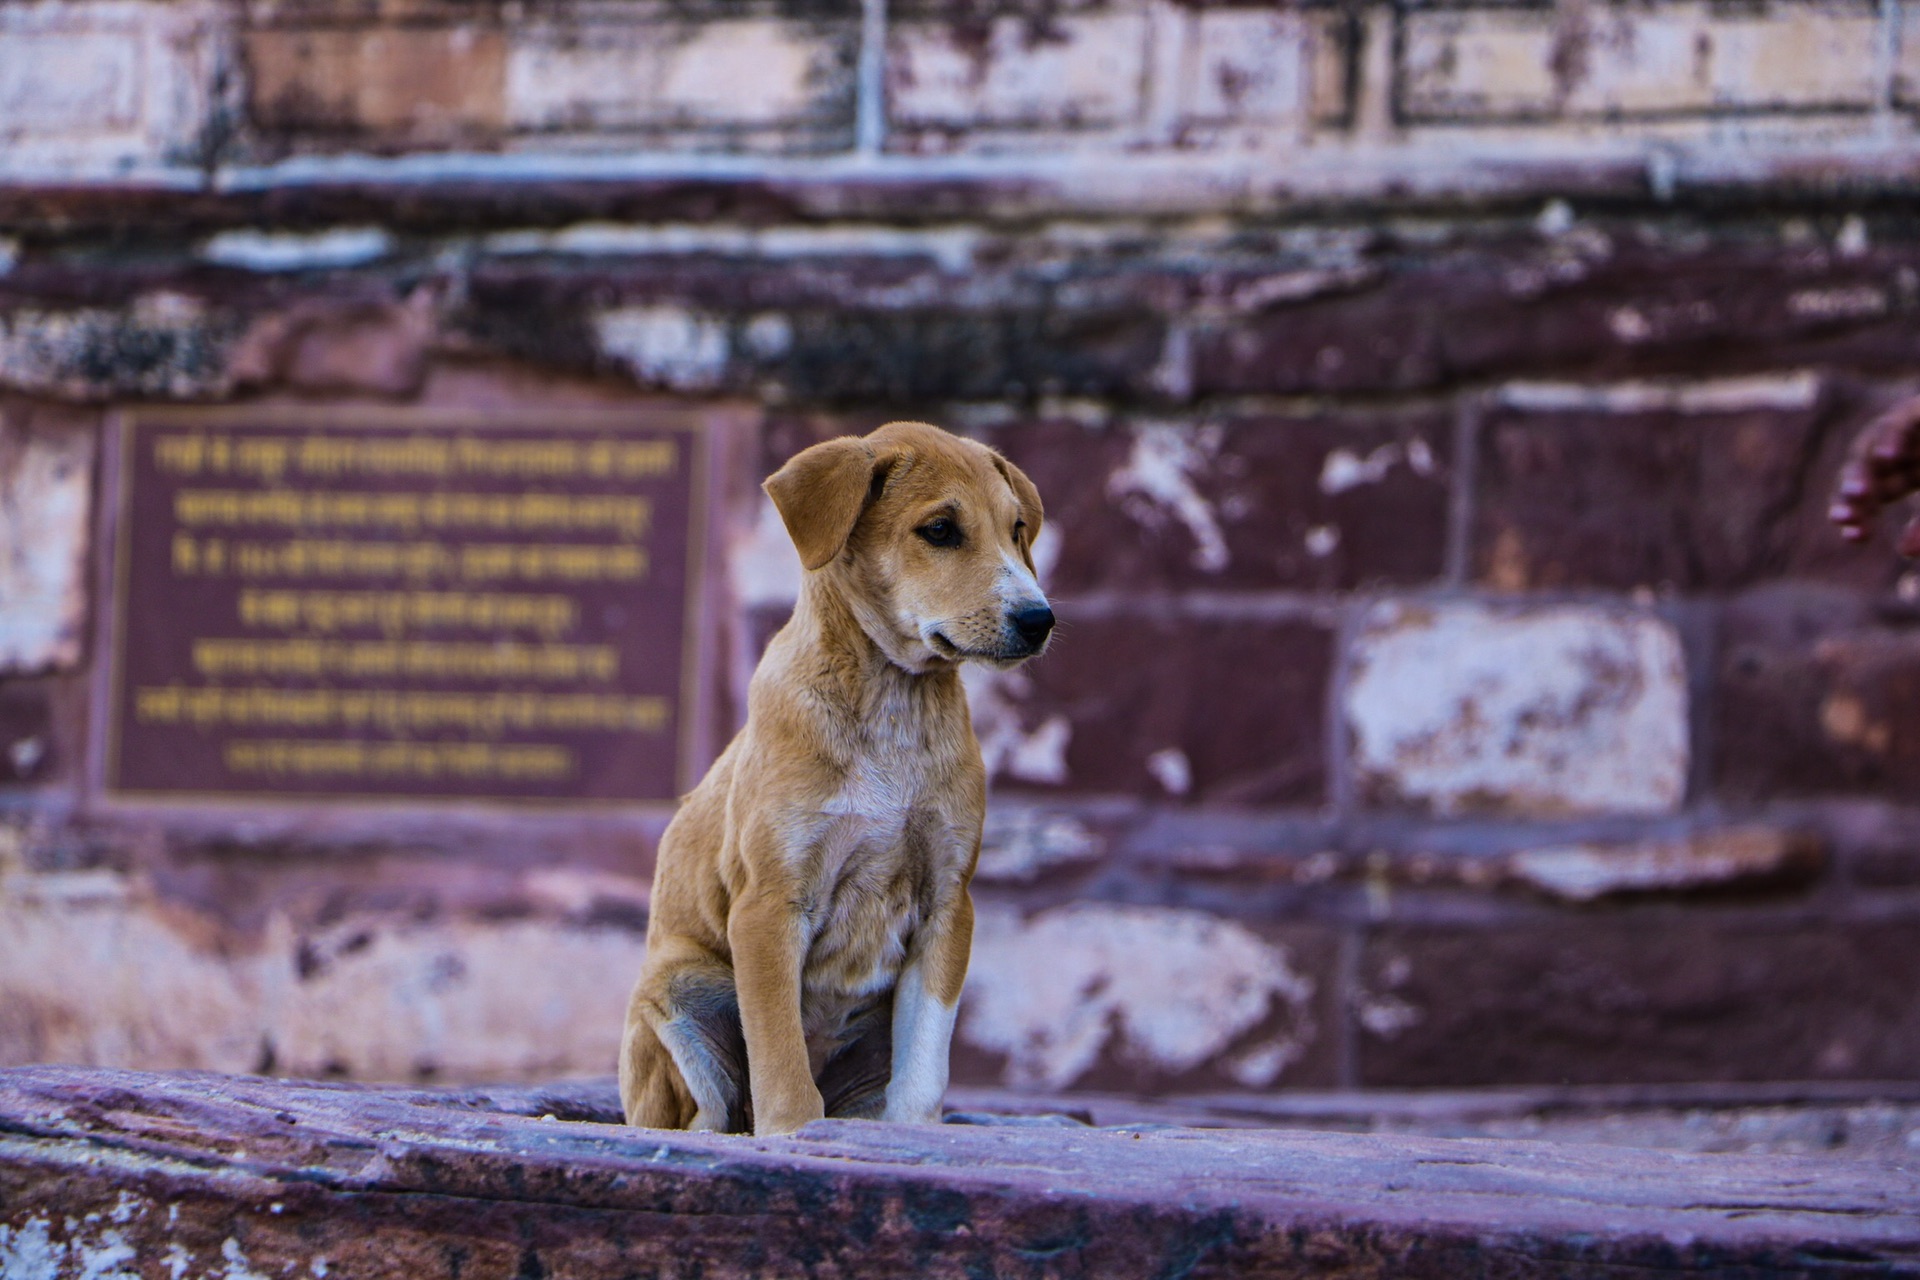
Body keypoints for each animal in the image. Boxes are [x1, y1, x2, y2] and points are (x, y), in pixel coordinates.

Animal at [625, 420, 1052, 1128]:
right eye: (940, 530)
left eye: (1017, 529)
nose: (1039, 618)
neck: (891, 706)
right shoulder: (769, 905)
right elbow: (780, 1056)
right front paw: (794, 1132)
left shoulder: (947, 904)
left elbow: (924, 1063)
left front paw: (913, 1134)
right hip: (678, 987)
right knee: (708, 1115)